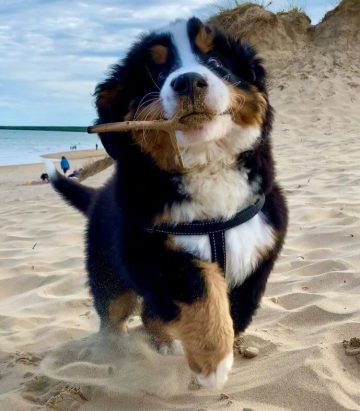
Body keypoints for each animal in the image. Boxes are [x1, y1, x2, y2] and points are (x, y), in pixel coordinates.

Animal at [50, 16, 286, 390]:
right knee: (114, 315)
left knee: (151, 313)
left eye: (215, 61)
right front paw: (212, 361)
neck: (207, 165)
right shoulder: (149, 248)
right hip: (108, 272)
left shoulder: (260, 244)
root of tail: (99, 194)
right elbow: (199, 286)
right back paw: (110, 352)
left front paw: (220, 347)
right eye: (158, 73)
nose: (188, 81)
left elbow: (238, 307)